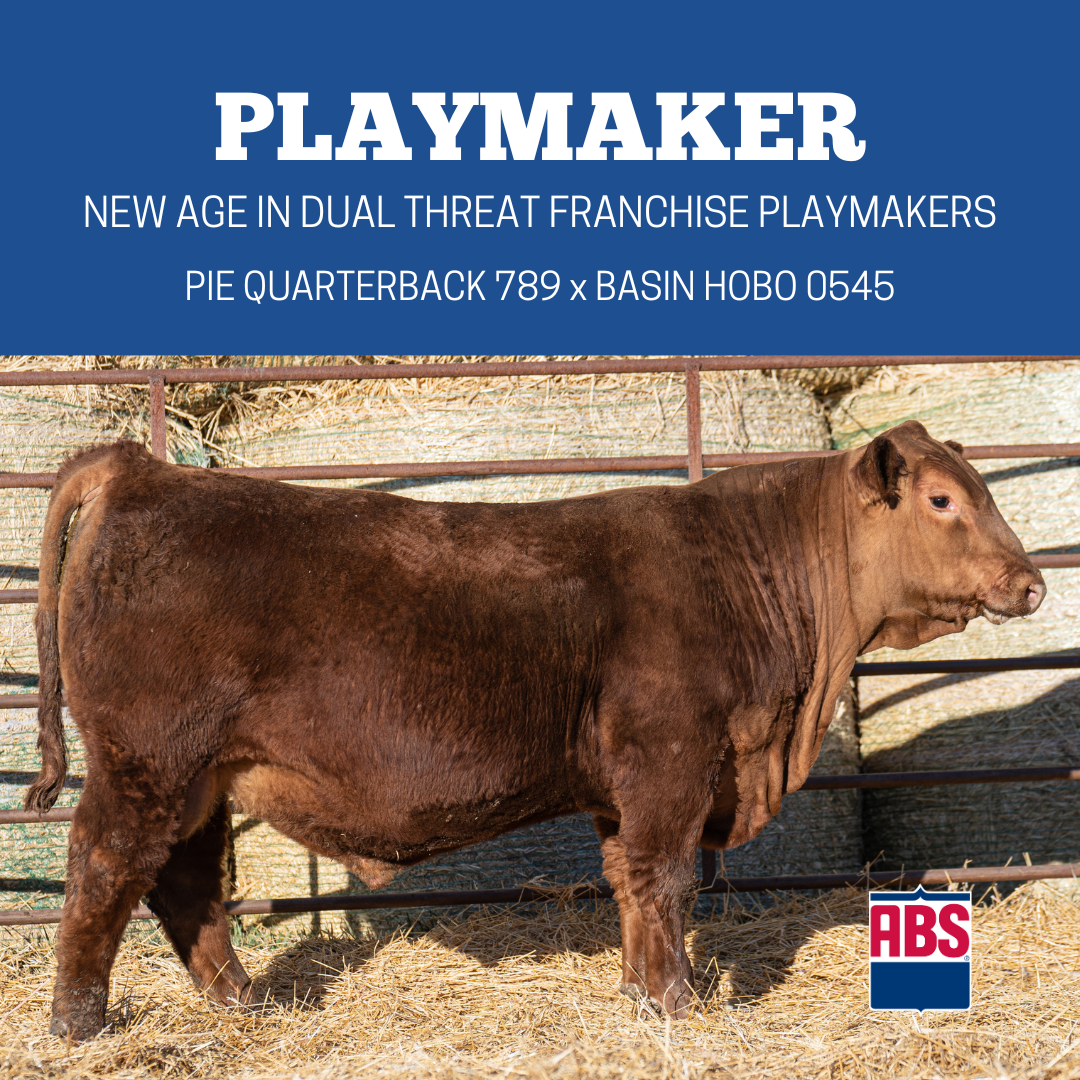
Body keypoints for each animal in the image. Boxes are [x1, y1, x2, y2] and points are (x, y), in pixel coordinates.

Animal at [24, 421, 1043, 1040]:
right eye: (944, 500)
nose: (1030, 582)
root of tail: (139, 468)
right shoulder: (672, 759)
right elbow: (666, 880)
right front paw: (676, 1004)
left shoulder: (626, 787)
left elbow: (630, 881)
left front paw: (641, 995)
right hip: (147, 761)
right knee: (107, 868)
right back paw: (78, 1024)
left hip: (200, 777)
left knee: (185, 885)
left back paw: (245, 1007)